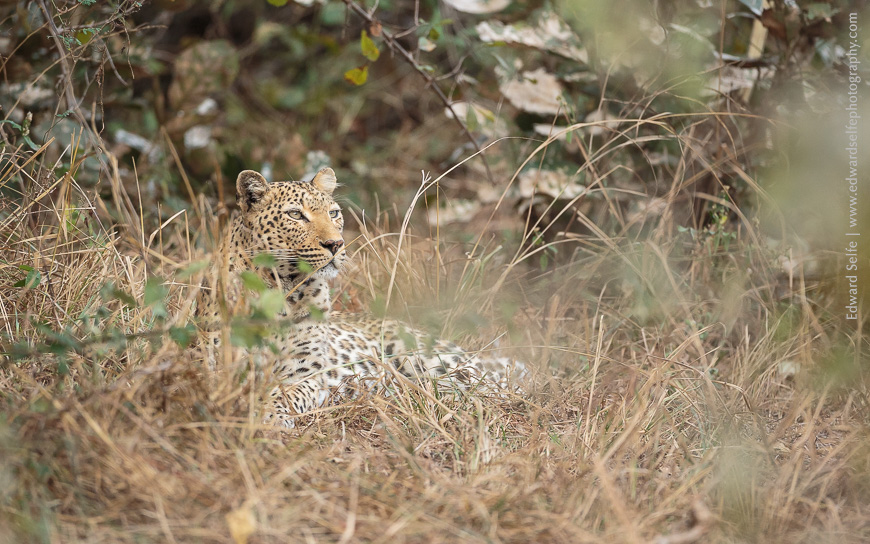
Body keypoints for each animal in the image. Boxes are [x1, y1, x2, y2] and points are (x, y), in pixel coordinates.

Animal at [197, 167, 524, 426]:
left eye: (333, 213)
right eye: (295, 215)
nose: (336, 244)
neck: (282, 289)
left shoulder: (305, 373)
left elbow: (285, 395)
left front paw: (269, 416)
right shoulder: (215, 365)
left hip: (431, 360)